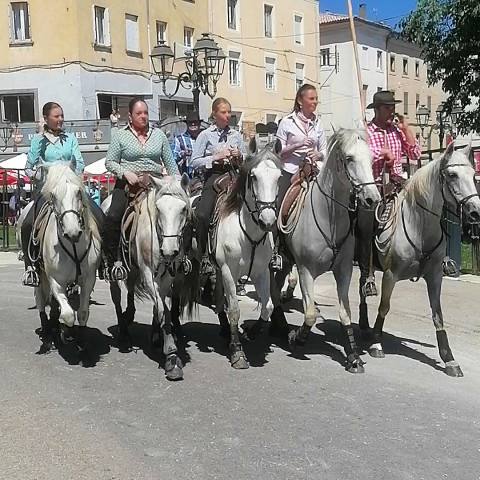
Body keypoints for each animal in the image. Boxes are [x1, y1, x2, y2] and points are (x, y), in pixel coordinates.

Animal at [29, 163, 102, 350]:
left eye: (78, 192)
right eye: (53, 195)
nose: (72, 232)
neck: (73, 247)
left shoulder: (89, 279)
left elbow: (82, 312)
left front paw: (81, 340)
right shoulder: (56, 281)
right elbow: (69, 313)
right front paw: (67, 333)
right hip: (38, 275)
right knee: (40, 300)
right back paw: (47, 334)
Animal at [108, 174, 192, 380]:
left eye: (183, 209)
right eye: (158, 208)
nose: (169, 251)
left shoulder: (166, 276)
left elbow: (160, 306)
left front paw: (156, 336)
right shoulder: (147, 273)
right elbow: (163, 310)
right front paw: (171, 355)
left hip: (134, 269)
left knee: (130, 288)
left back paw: (130, 315)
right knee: (116, 297)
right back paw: (124, 333)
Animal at [214, 137, 282, 370]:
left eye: (279, 177)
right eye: (254, 176)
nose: (268, 221)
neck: (248, 235)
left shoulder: (262, 272)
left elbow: (268, 306)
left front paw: (253, 332)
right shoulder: (228, 272)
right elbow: (234, 309)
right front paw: (238, 352)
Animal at [268, 129, 380, 374]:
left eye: (371, 159)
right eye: (349, 158)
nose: (372, 198)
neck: (329, 218)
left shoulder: (344, 270)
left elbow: (345, 313)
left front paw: (353, 357)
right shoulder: (305, 270)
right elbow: (310, 314)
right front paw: (298, 337)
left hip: (286, 262)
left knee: (275, 288)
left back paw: (278, 325)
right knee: (271, 288)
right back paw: (282, 328)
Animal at [362, 142, 478, 376]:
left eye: (473, 175)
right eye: (452, 175)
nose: (475, 211)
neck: (419, 225)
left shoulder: (434, 276)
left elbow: (437, 314)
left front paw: (449, 358)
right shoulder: (390, 274)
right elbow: (384, 306)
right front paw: (377, 343)